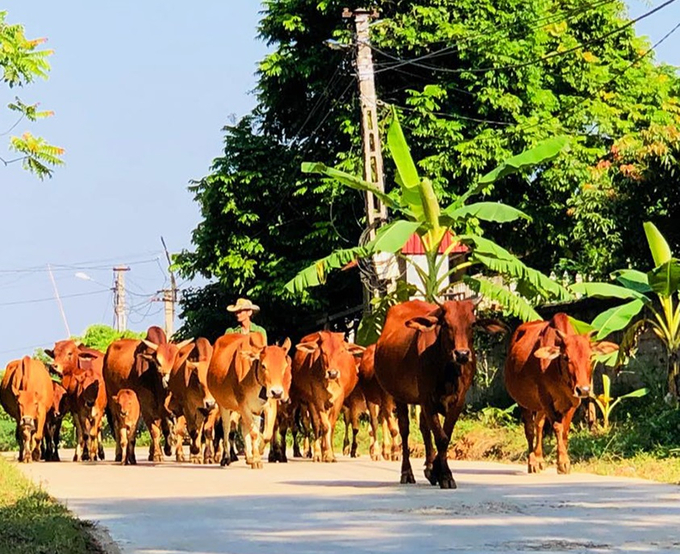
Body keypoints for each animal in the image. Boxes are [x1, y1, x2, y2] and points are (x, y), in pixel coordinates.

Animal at [104, 326, 194, 460]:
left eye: (177, 360)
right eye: (158, 362)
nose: (168, 381)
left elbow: (177, 429)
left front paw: (178, 454)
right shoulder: (146, 406)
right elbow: (155, 431)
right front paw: (157, 455)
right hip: (113, 400)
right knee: (117, 425)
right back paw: (119, 454)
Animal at [207, 330, 292, 468]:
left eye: (284, 367)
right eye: (263, 366)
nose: (277, 392)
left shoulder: (269, 406)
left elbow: (266, 435)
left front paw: (258, 453)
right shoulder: (243, 405)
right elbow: (254, 433)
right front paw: (257, 460)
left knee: (243, 428)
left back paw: (249, 457)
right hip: (223, 405)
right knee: (226, 430)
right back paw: (226, 458)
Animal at [294, 332, 364, 462]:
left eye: (342, 351)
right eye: (322, 351)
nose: (333, 373)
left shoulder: (338, 400)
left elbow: (331, 426)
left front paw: (329, 454)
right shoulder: (317, 399)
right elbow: (323, 426)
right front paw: (322, 453)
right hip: (305, 402)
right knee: (311, 425)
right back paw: (313, 452)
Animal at [374, 298, 502, 488]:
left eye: (472, 324)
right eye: (446, 324)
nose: (462, 354)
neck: (447, 370)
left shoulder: (458, 400)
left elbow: (444, 436)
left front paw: (437, 471)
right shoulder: (427, 398)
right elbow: (440, 437)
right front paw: (445, 475)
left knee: (424, 428)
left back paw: (429, 468)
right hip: (400, 396)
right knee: (404, 430)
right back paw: (407, 473)